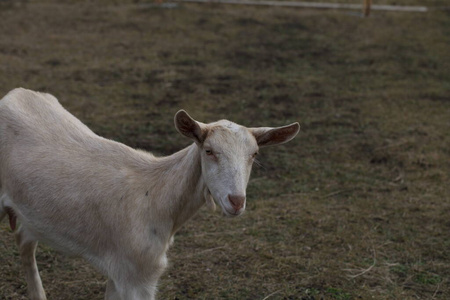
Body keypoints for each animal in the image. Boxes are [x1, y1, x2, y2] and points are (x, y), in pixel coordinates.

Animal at [1, 88, 300, 298]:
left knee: (24, 240)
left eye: (255, 154)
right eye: (209, 151)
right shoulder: (137, 275)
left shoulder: (121, 271)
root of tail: (13, 94)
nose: (236, 201)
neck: (157, 199)